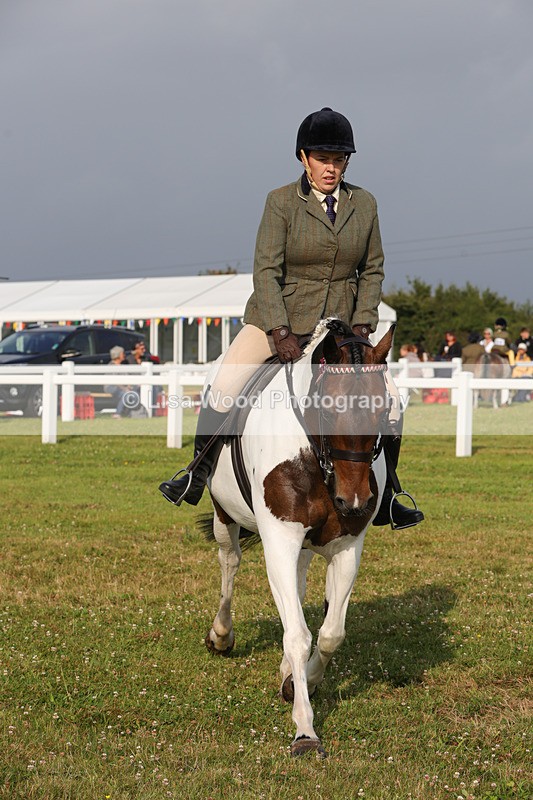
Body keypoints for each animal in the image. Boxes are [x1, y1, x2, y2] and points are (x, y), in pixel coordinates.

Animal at [199, 318, 394, 758]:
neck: (316, 459)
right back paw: (221, 635)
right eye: (328, 408)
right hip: (224, 514)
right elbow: (298, 635)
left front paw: (302, 681)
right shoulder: (280, 541)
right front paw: (305, 729)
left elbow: (331, 633)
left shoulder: (346, 547)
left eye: (384, 409)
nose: (354, 502)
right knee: (229, 563)